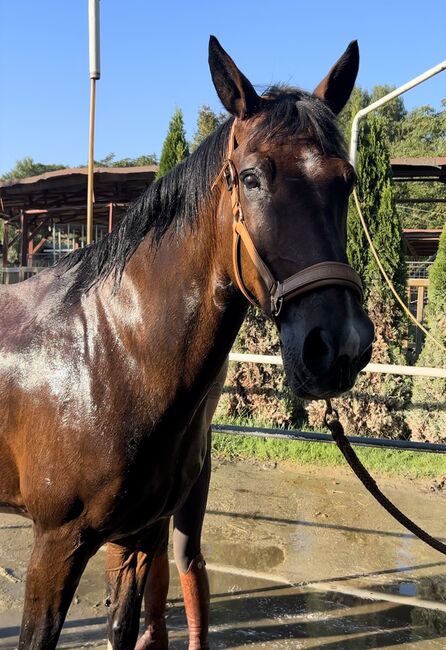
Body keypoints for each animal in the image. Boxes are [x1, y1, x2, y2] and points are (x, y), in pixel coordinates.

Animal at [0, 36, 372, 648]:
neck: (111, 355)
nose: (338, 345)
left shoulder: (143, 535)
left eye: (346, 180)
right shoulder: (55, 546)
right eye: (251, 177)